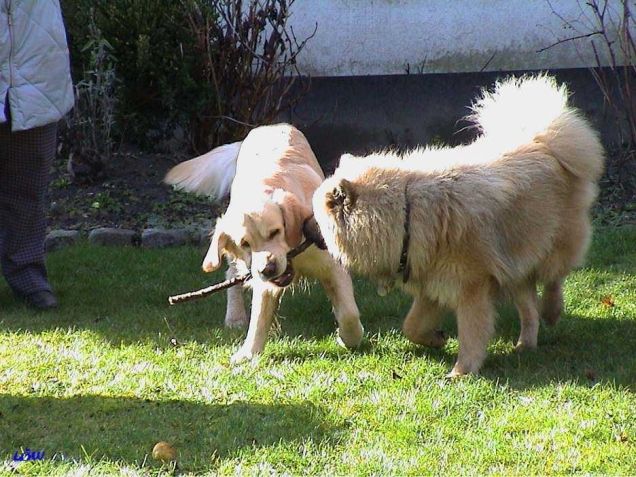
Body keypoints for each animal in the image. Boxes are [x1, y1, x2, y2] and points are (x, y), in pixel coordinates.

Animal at [164, 124, 362, 362]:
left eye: (275, 232)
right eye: (245, 243)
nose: (268, 269)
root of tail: (268, 126)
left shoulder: (332, 265)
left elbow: (348, 313)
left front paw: (348, 338)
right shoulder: (261, 277)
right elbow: (259, 316)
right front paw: (248, 354)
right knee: (231, 275)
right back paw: (235, 317)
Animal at [314, 76, 608, 376]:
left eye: (316, 219)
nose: (305, 229)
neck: (407, 213)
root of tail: (542, 141)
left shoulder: (471, 286)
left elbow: (471, 332)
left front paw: (461, 371)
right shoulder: (432, 282)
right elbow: (411, 326)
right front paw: (436, 339)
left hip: (551, 244)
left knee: (554, 277)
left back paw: (551, 310)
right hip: (514, 264)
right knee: (528, 307)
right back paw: (525, 343)